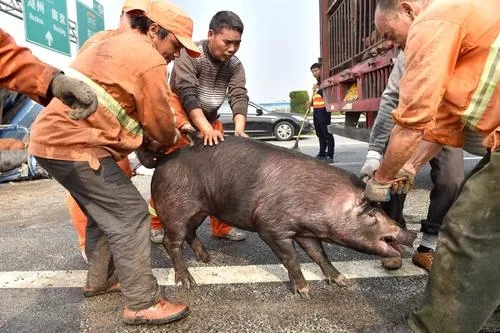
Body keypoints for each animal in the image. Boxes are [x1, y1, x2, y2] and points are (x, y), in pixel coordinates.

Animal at [150, 136, 416, 296]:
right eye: (372, 214)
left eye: (380, 208)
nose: (411, 234)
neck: (320, 202)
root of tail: (162, 162)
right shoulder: (271, 228)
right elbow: (290, 258)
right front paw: (305, 292)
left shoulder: (306, 231)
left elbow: (318, 254)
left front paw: (341, 280)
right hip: (175, 208)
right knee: (170, 241)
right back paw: (188, 282)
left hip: (200, 211)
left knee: (190, 232)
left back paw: (206, 258)